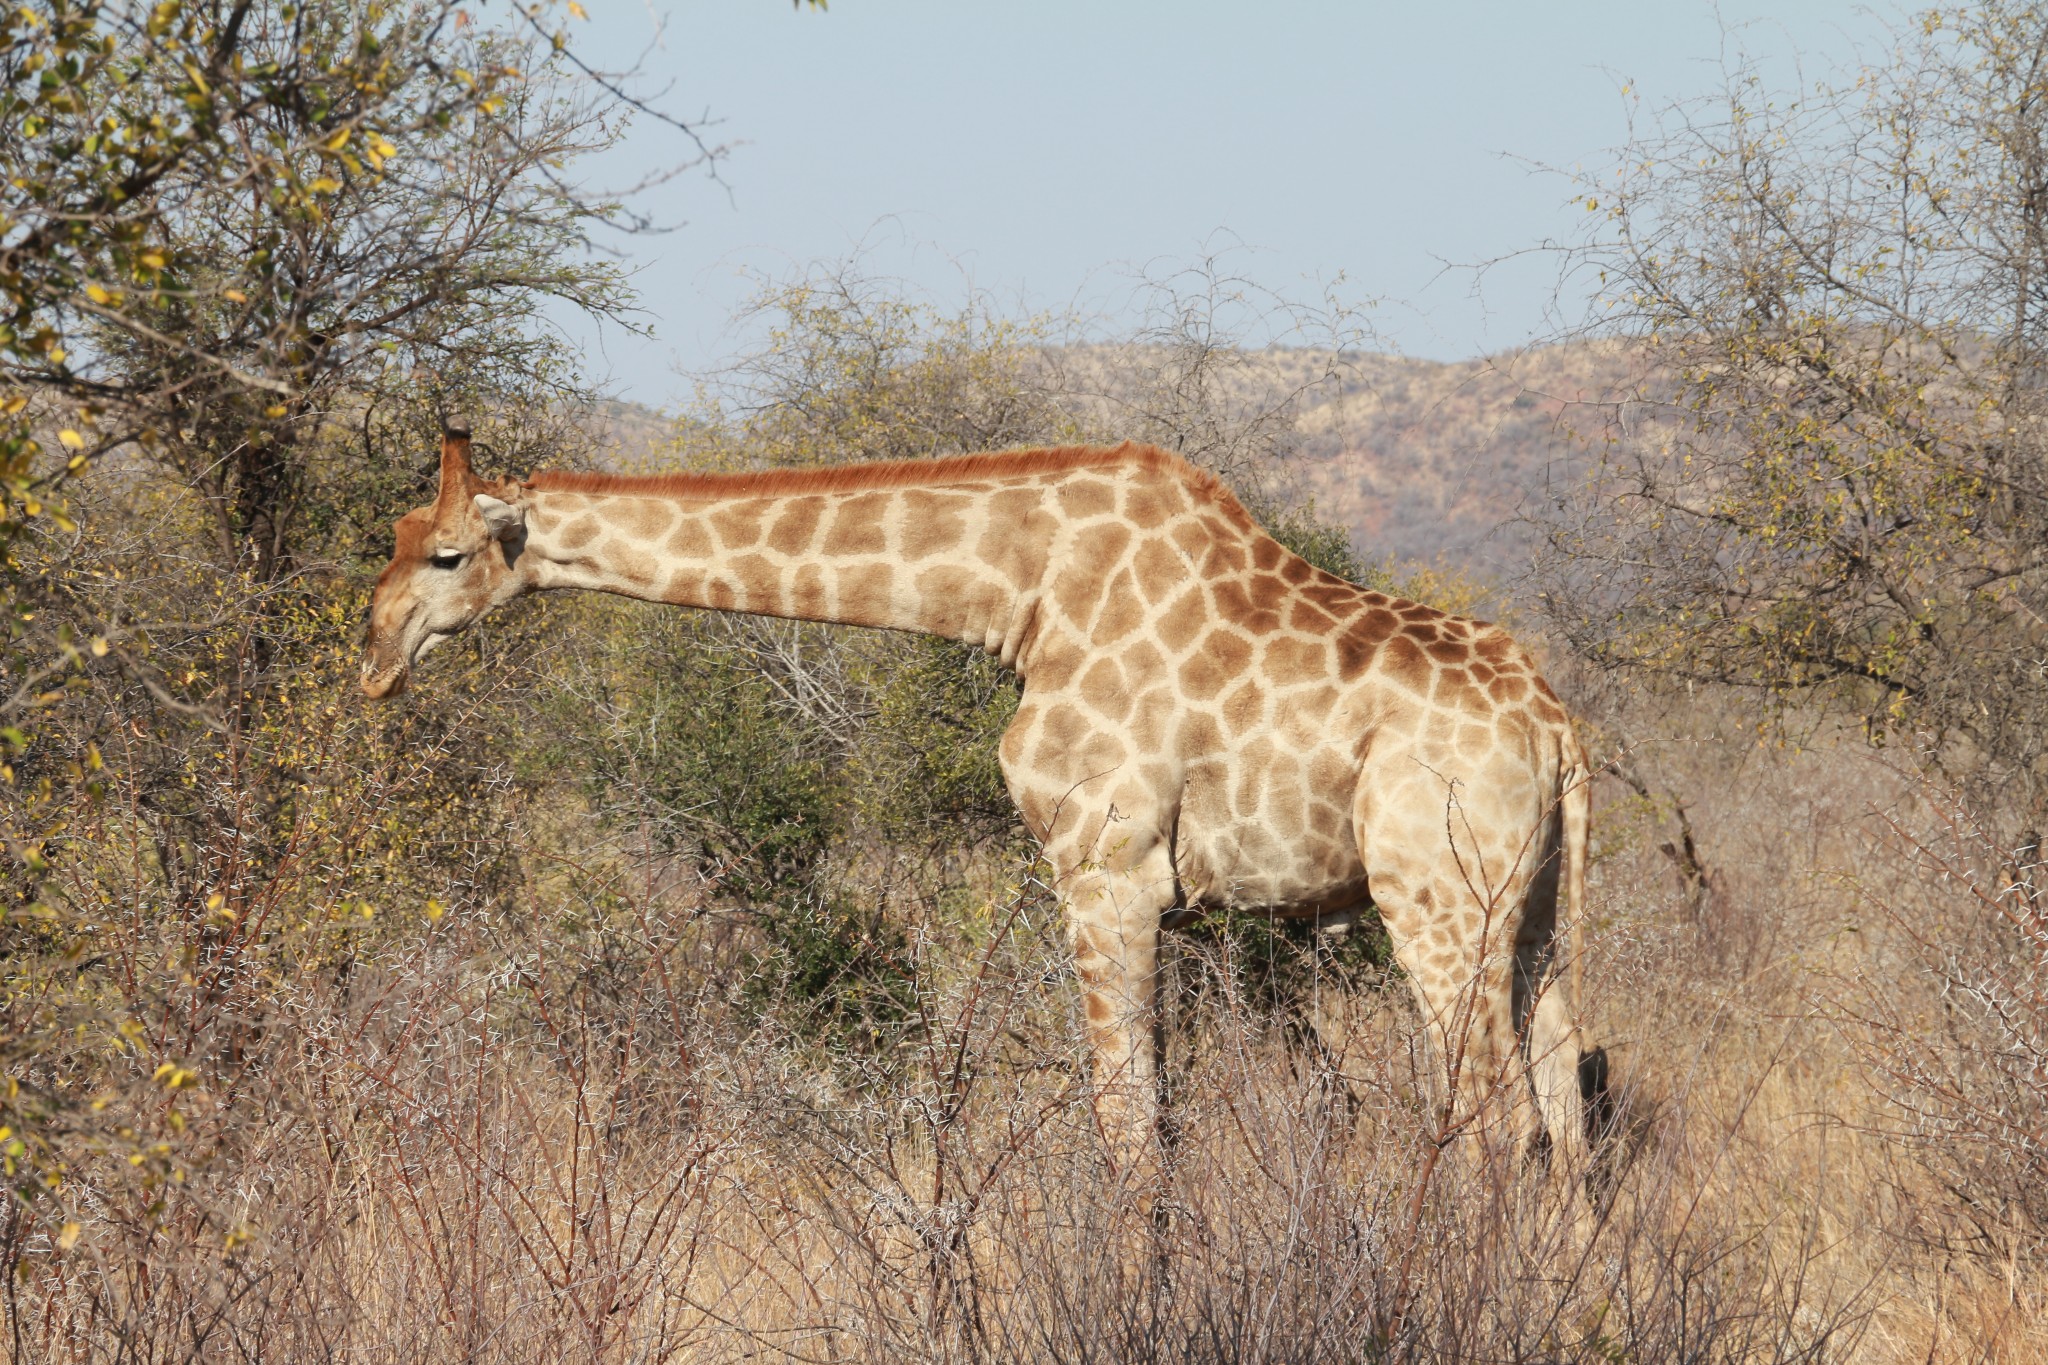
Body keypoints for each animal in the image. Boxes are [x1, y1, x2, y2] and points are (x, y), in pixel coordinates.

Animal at [360, 423, 1589, 1162]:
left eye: (448, 555)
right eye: (398, 537)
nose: (373, 657)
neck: (1023, 594)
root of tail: (1554, 724)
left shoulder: (1108, 870)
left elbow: (1126, 1127)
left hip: (1435, 902)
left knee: (1501, 1119)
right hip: (1532, 914)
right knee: (1566, 1104)